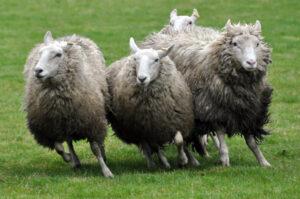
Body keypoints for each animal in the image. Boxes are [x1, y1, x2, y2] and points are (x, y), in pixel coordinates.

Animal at [23, 31, 113, 177]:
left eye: (58, 54)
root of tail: (67, 37)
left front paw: (106, 171)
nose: (37, 71)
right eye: (40, 53)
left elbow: (95, 148)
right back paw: (75, 161)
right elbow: (59, 147)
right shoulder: (49, 126)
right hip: (66, 123)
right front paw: (69, 157)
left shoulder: (91, 121)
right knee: (69, 142)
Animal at [105, 37, 199, 168]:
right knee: (147, 145)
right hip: (138, 127)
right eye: (135, 59)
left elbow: (180, 141)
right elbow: (155, 146)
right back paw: (155, 163)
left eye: (156, 60)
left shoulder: (177, 121)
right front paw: (177, 161)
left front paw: (185, 160)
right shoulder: (149, 127)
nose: (142, 78)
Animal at [139, 20, 274, 166]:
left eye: (257, 44)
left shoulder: (247, 111)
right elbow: (222, 139)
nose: (251, 62)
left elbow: (251, 142)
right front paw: (224, 160)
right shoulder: (213, 109)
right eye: (235, 44)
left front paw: (263, 162)